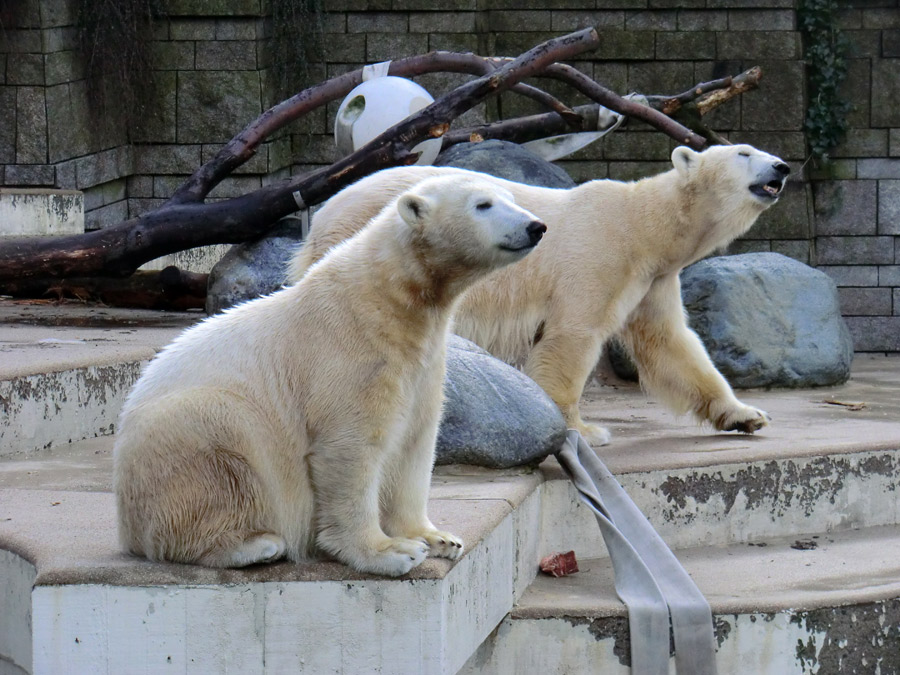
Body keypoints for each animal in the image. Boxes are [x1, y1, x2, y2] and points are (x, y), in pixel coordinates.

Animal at [115, 176, 544, 576]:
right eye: (483, 204)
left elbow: (416, 442)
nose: (536, 226)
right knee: (221, 447)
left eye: (511, 198)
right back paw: (255, 545)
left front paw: (436, 538)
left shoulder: (422, 362)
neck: (389, 299)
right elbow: (351, 446)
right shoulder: (347, 350)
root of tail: (126, 525)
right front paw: (390, 552)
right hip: (182, 441)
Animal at [292, 145, 792, 446]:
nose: (783, 166)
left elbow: (671, 343)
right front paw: (583, 430)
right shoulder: (598, 255)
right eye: (744, 153)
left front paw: (745, 414)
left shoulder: (654, 279)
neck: (644, 225)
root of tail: (322, 217)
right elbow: (574, 335)